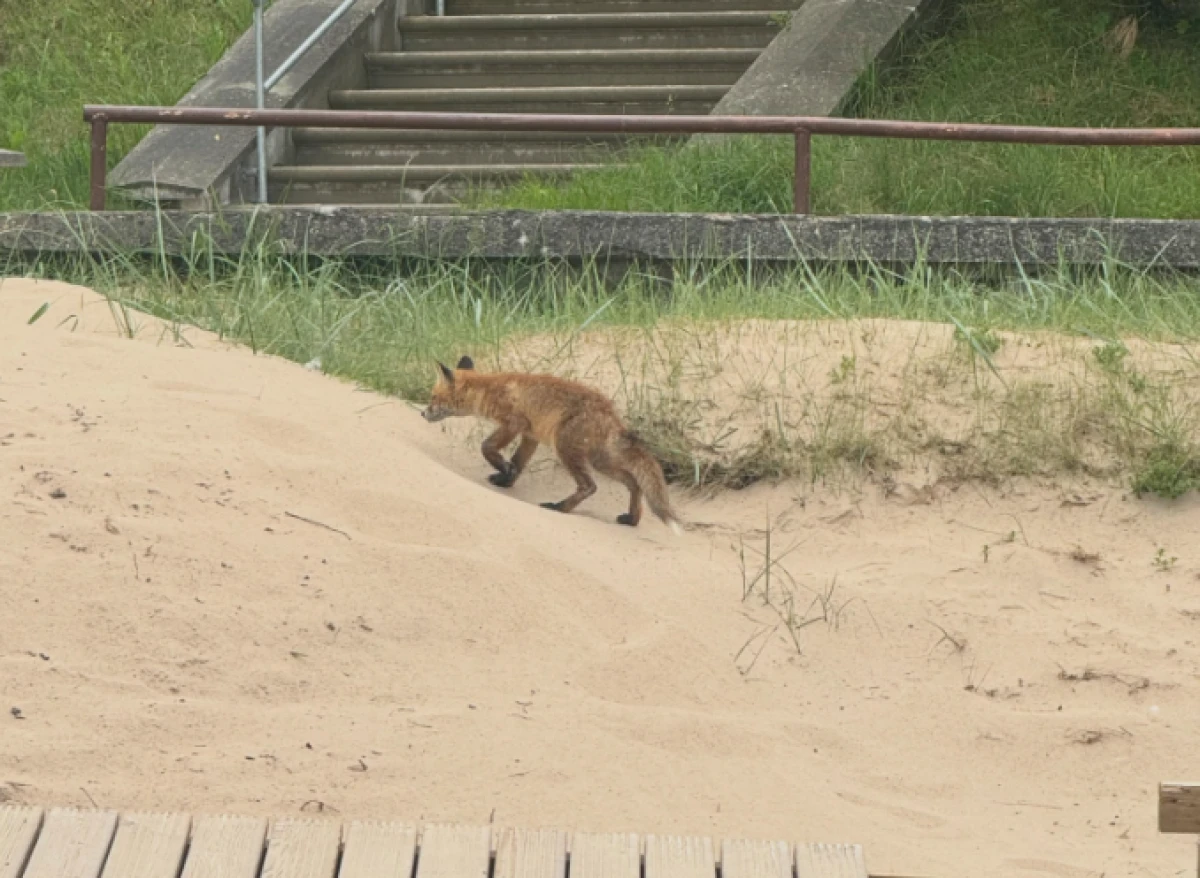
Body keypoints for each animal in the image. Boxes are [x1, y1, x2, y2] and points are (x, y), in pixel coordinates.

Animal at [422, 355, 682, 534]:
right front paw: (506, 480)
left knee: (590, 486)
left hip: (565, 449)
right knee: (634, 483)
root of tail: (611, 413)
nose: (423, 413)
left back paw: (560, 508)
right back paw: (632, 519)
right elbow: (518, 462)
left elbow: (487, 447)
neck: (488, 388)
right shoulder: (530, 435)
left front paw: (503, 470)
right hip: (600, 461)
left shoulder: (513, 423)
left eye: (433, 398)